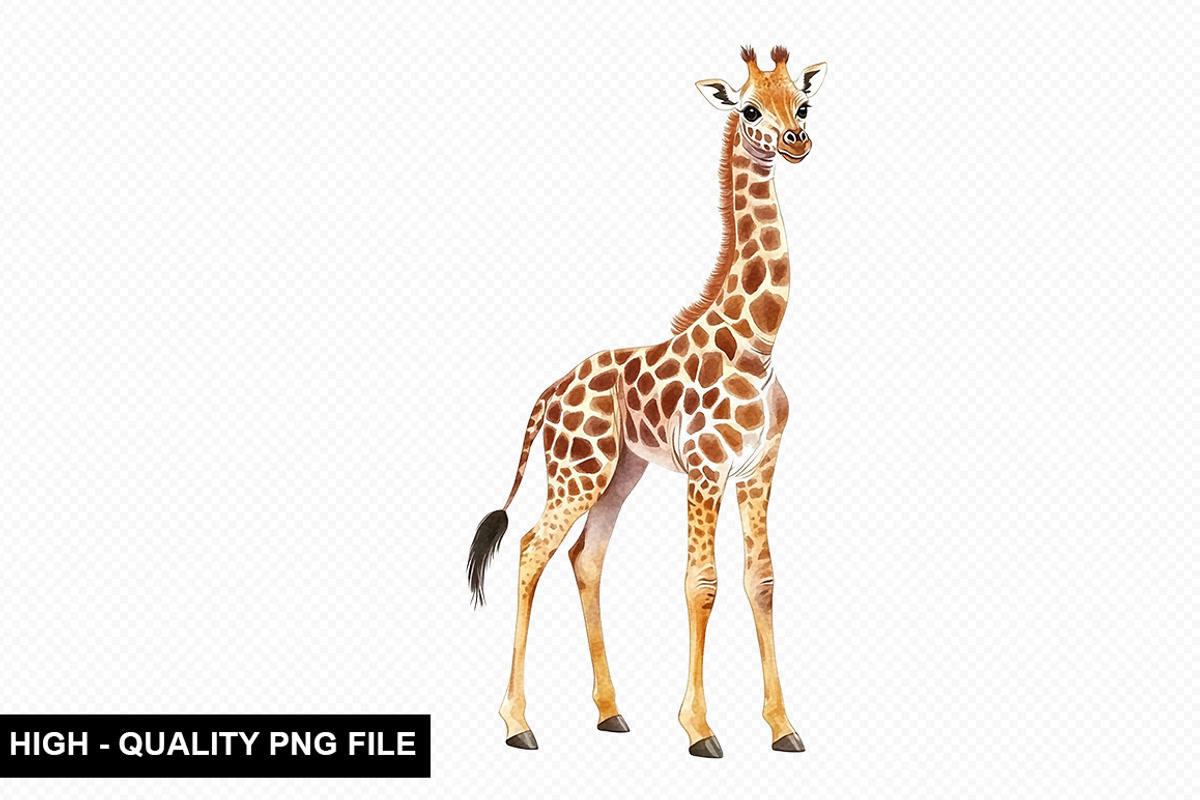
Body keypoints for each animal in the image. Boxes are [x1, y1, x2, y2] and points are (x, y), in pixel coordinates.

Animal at [468, 46, 827, 758]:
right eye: (750, 109)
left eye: (802, 104)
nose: (795, 142)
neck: (759, 341)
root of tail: (549, 393)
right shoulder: (707, 469)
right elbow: (701, 583)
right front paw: (699, 729)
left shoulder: (760, 469)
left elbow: (762, 581)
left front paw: (782, 727)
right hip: (576, 473)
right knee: (530, 550)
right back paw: (518, 724)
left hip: (619, 473)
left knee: (585, 557)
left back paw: (610, 712)